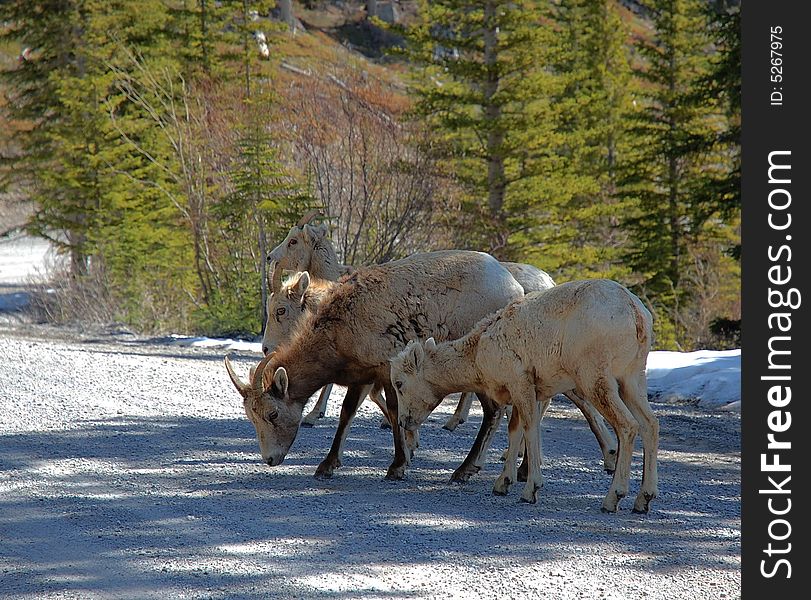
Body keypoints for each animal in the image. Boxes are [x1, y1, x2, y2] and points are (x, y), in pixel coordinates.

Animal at [227, 251, 528, 480]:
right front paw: (327, 465)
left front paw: (398, 465)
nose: (270, 458)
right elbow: (347, 413)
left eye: (273, 414)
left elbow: (394, 413)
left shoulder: (386, 370)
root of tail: (515, 289)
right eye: (251, 417)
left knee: (494, 410)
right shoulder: (363, 376)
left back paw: (465, 470)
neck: (339, 329)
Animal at [390, 278, 664, 512]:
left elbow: (530, 427)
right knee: (650, 424)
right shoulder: (527, 389)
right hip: (631, 378)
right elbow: (515, 430)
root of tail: (635, 313)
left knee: (627, 426)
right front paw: (502, 483)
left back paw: (613, 498)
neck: (478, 352)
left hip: (595, 377)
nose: (404, 421)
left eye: (399, 383)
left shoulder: (520, 383)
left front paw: (530, 489)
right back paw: (643, 499)